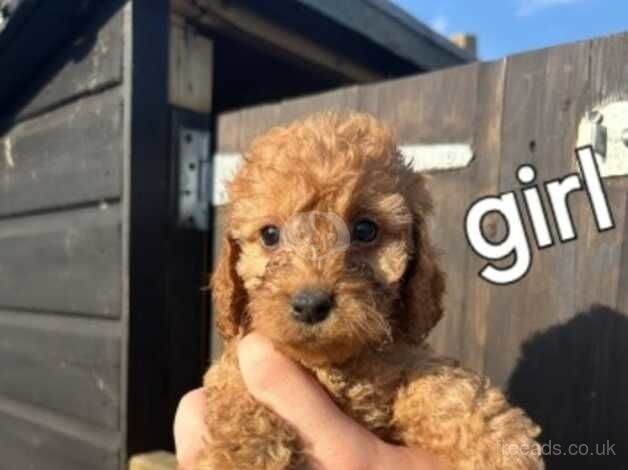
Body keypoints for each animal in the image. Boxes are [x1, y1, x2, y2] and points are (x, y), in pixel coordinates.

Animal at [197, 113, 544, 470]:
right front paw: (240, 454)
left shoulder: (403, 355)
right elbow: (239, 400)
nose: (310, 305)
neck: (335, 366)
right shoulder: (231, 368)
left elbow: (440, 384)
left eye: (365, 230)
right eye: (270, 235)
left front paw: (496, 443)